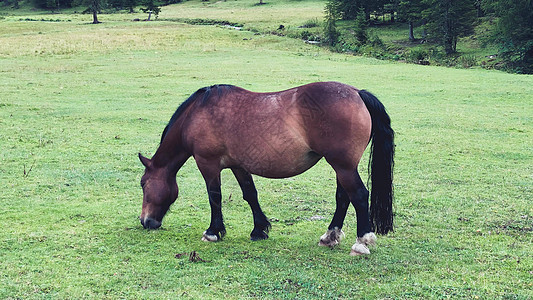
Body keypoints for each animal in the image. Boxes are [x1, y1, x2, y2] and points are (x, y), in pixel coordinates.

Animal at [139, 81, 392, 255]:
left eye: (143, 184)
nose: (145, 221)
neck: (197, 114)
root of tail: (357, 93)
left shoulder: (208, 163)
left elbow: (214, 196)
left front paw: (212, 232)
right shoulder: (239, 165)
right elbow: (250, 194)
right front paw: (259, 230)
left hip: (343, 166)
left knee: (359, 195)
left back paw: (361, 243)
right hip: (342, 167)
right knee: (343, 198)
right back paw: (330, 236)